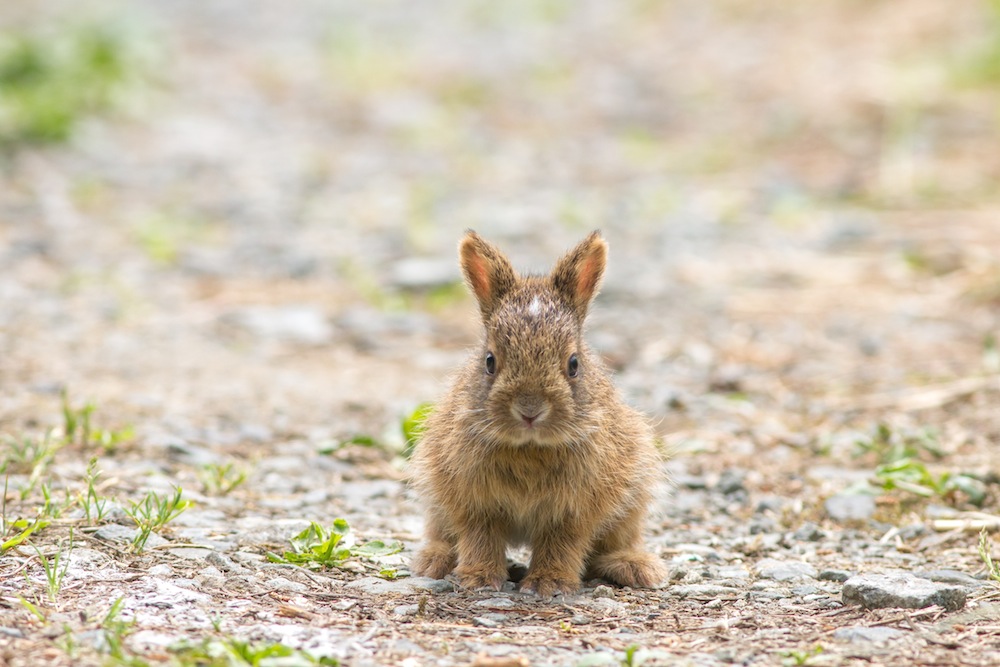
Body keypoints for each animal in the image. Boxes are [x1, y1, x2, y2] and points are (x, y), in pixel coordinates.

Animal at [410, 232, 668, 596]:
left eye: (573, 364)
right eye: (490, 361)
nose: (530, 410)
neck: (529, 447)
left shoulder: (573, 511)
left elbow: (562, 543)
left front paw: (549, 583)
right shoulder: (472, 502)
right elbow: (479, 537)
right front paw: (479, 578)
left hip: (633, 498)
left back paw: (635, 567)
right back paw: (434, 560)